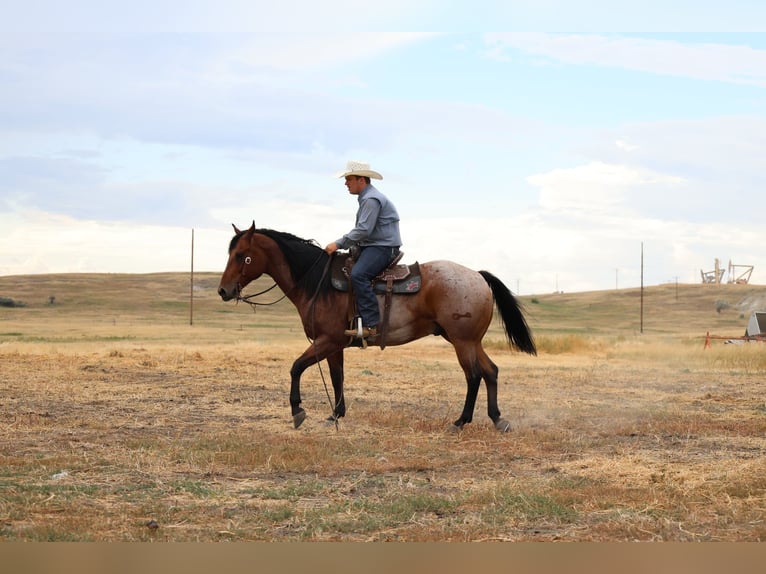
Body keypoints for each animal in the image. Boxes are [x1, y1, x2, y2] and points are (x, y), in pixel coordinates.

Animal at [217, 222, 536, 431]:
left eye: (242, 255)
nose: (223, 291)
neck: (317, 282)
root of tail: (478, 276)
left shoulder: (327, 340)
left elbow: (296, 367)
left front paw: (298, 411)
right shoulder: (334, 345)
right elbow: (337, 377)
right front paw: (335, 415)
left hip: (462, 342)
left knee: (473, 376)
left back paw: (460, 422)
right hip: (470, 341)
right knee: (491, 371)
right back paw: (497, 419)